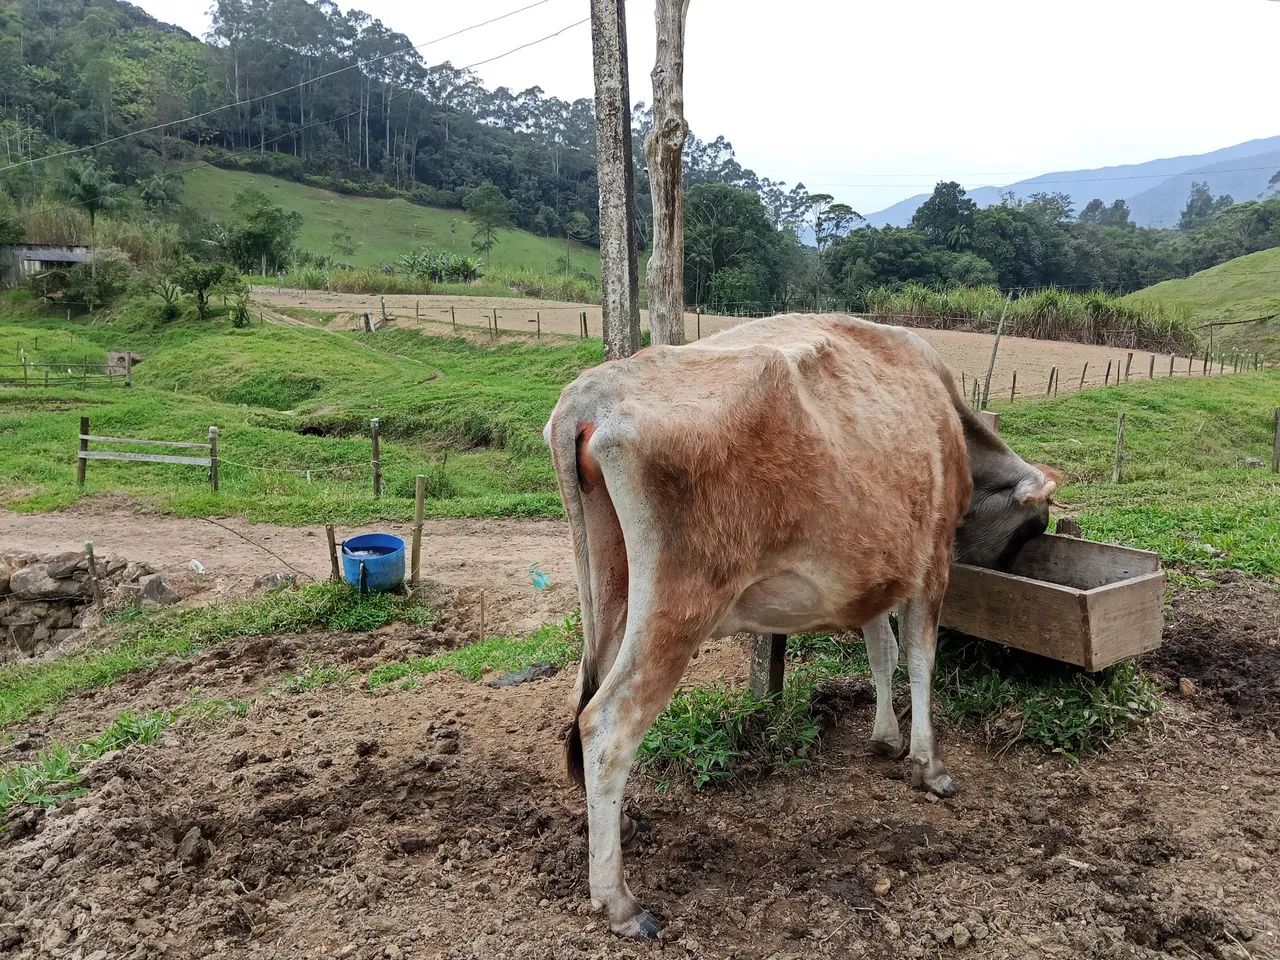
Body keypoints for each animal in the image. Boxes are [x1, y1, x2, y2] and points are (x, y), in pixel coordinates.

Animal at [543, 313, 1059, 938]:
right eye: (1032, 529)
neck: (950, 421)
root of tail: (596, 389)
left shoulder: (874, 575)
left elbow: (882, 652)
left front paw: (886, 738)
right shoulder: (932, 562)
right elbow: (919, 660)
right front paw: (928, 765)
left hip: (610, 594)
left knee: (586, 698)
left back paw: (620, 828)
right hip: (679, 607)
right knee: (607, 725)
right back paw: (619, 902)